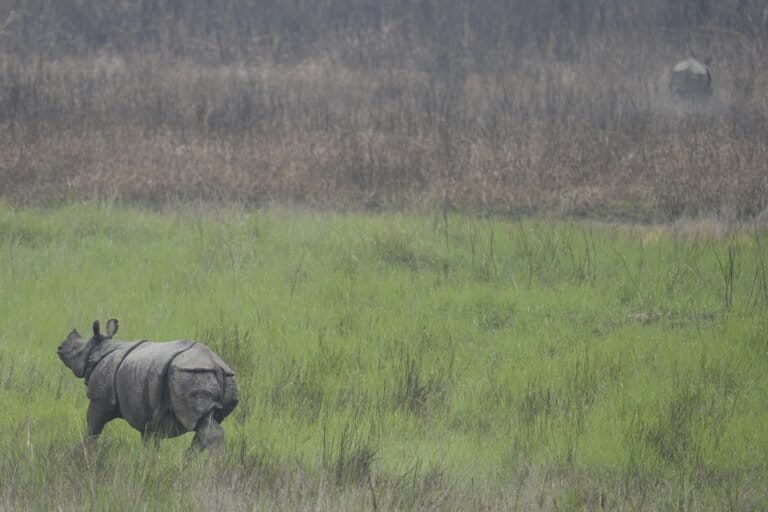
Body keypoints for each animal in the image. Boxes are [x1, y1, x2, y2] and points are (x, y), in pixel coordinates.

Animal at [57, 319, 238, 450]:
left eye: (75, 348)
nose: (59, 347)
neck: (97, 349)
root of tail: (216, 365)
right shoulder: (146, 412)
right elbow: (150, 442)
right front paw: (149, 465)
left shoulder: (100, 399)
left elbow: (93, 429)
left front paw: (83, 453)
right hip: (220, 376)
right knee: (206, 422)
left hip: (190, 373)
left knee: (203, 424)